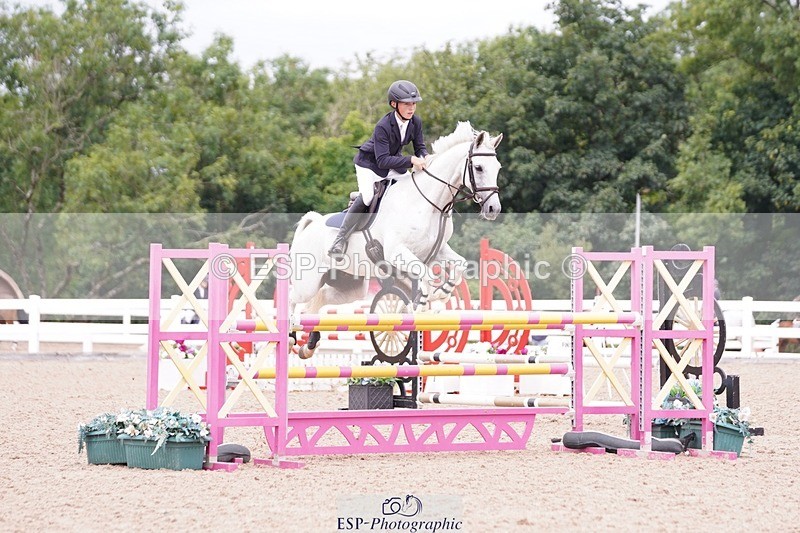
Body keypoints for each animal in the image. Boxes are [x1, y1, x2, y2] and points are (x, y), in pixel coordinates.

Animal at [289, 121, 503, 358]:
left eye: (498, 168)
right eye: (479, 168)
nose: (493, 209)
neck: (428, 203)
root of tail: (310, 226)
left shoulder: (436, 250)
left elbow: (459, 266)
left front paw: (440, 297)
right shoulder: (396, 253)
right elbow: (428, 276)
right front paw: (422, 302)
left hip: (350, 286)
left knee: (319, 301)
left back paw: (309, 345)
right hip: (307, 282)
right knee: (292, 298)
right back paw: (290, 334)